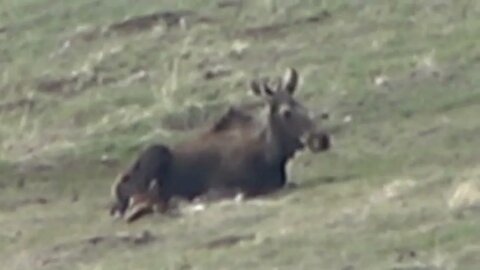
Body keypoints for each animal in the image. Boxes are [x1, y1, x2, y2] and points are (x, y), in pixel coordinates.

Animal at [110, 67, 332, 221]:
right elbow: (237, 193)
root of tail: (117, 187)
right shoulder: (224, 185)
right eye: (286, 112)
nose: (322, 139)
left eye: (303, 106)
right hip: (157, 152)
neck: (271, 155)